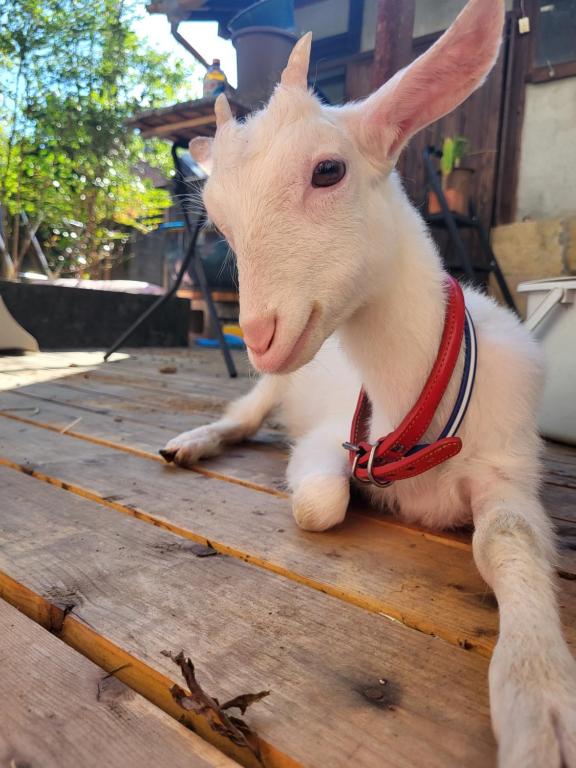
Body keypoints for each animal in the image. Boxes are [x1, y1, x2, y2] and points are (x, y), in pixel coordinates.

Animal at [161, 1, 576, 764]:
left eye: (329, 170)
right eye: (222, 223)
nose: (260, 334)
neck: (420, 398)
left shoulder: (510, 464)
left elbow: (510, 537)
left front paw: (542, 705)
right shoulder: (331, 439)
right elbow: (318, 505)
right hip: (275, 388)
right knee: (243, 415)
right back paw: (193, 441)